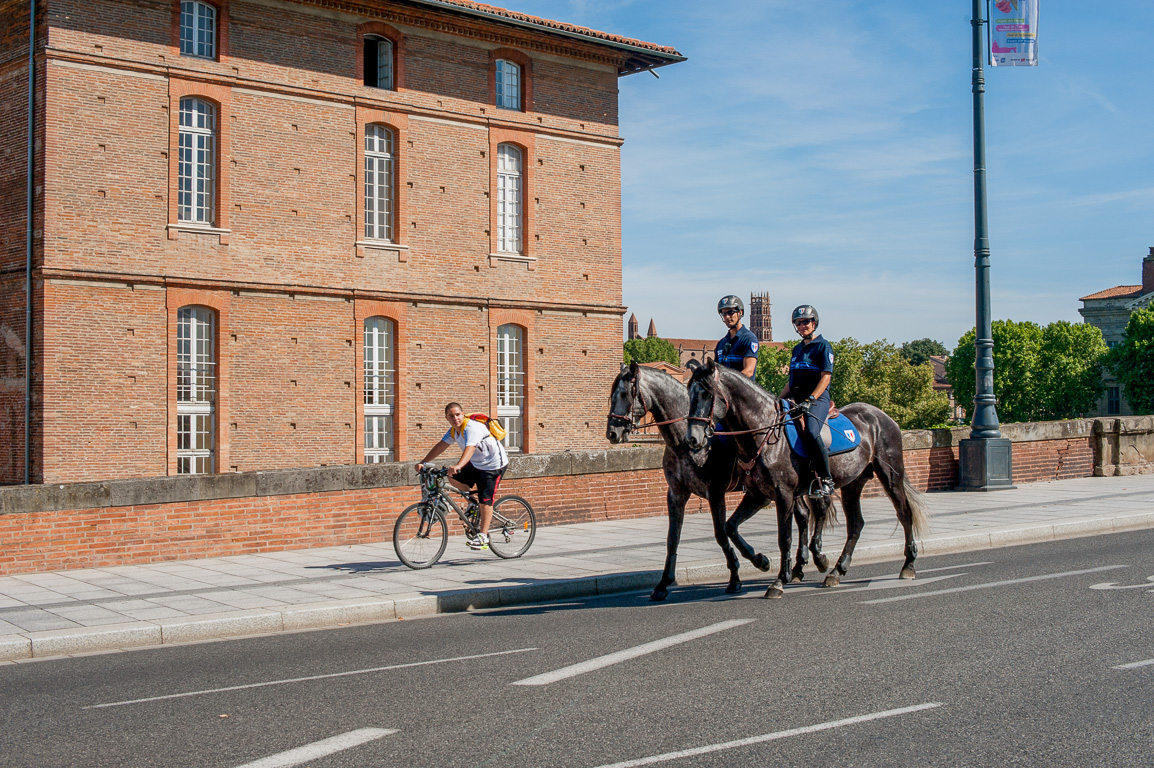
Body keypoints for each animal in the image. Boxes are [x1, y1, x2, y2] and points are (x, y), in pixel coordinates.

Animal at [604, 359, 812, 599]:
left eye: (624, 393)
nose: (612, 432)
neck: (684, 444)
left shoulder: (715, 492)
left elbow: (721, 533)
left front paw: (738, 574)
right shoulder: (676, 494)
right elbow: (672, 538)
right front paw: (663, 583)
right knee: (803, 514)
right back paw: (802, 564)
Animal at [683, 359, 927, 599]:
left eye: (706, 394)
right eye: (689, 393)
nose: (692, 438)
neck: (763, 433)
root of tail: (881, 415)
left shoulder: (782, 494)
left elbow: (784, 537)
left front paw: (779, 580)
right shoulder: (758, 495)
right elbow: (731, 527)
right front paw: (761, 561)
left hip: (891, 476)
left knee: (904, 514)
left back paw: (908, 565)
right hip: (852, 483)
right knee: (855, 524)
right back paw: (836, 570)